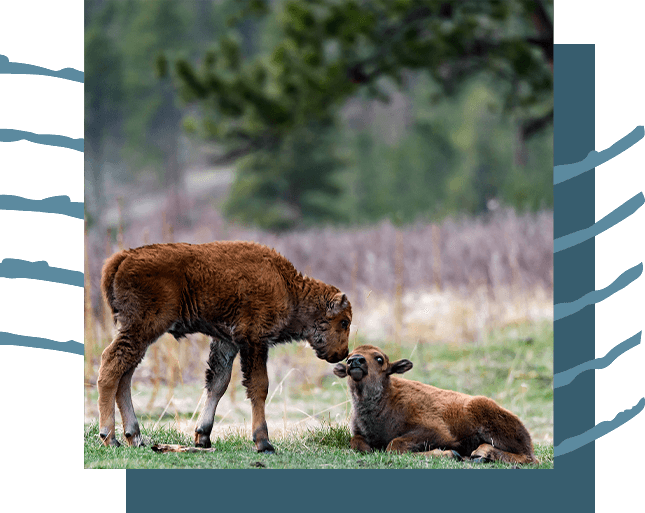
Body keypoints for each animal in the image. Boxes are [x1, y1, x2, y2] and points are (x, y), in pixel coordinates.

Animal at [97, 240, 352, 452]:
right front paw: (264, 442)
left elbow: (218, 383)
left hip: (139, 335)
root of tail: (123, 257)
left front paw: (202, 436)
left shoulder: (227, 342)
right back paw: (110, 437)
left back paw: (134, 437)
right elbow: (259, 386)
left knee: (125, 375)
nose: (343, 353)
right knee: (111, 366)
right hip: (143, 329)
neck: (287, 287)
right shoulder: (255, 340)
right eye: (344, 322)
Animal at [332, 344, 540, 464]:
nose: (355, 361)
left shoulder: (436, 431)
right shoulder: (359, 434)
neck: (385, 400)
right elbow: (356, 442)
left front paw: (449, 454)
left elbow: (394, 445)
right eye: (348, 356)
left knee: (529, 458)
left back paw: (481, 454)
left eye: (379, 358)